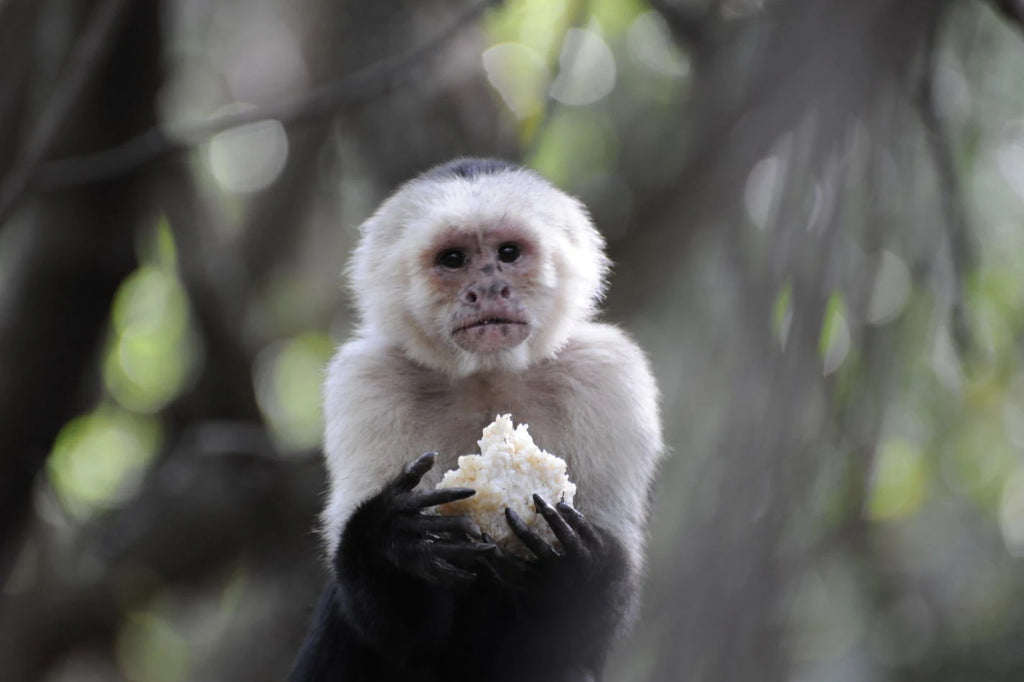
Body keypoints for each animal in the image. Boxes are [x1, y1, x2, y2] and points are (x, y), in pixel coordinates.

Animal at [288, 158, 664, 682]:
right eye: (453, 259)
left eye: (508, 253)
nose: (487, 288)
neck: (488, 375)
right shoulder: (366, 382)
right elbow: (390, 626)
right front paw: (393, 540)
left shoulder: (608, 376)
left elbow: (585, 627)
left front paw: (573, 565)